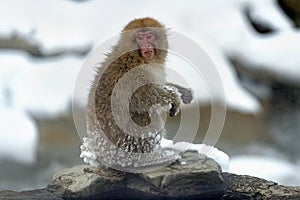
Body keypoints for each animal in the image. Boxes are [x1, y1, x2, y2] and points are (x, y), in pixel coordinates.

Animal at [79, 17, 192, 170]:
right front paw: (173, 96)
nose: (146, 44)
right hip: (123, 144)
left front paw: (183, 92)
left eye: (149, 36)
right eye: (140, 37)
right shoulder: (130, 70)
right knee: (142, 114)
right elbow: (141, 96)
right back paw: (149, 159)